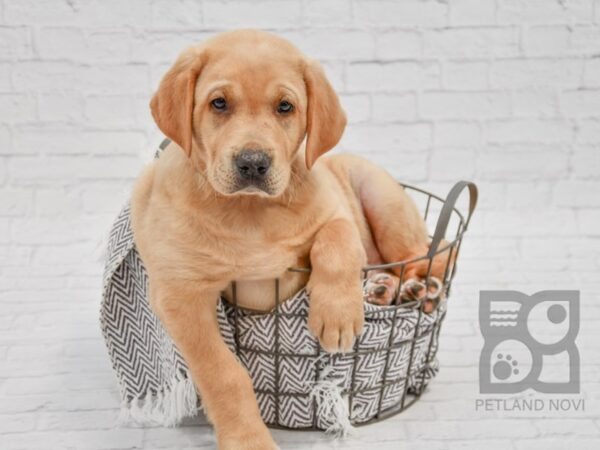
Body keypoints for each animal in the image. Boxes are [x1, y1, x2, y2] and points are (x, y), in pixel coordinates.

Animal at [132, 29, 450, 448]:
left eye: (285, 107)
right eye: (219, 103)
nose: (252, 163)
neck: (249, 211)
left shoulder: (335, 211)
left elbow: (337, 241)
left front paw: (337, 314)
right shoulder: (180, 293)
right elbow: (223, 373)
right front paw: (248, 438)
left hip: (381, 196)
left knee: (423, 254)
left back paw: (414, 288)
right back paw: (384, 289)